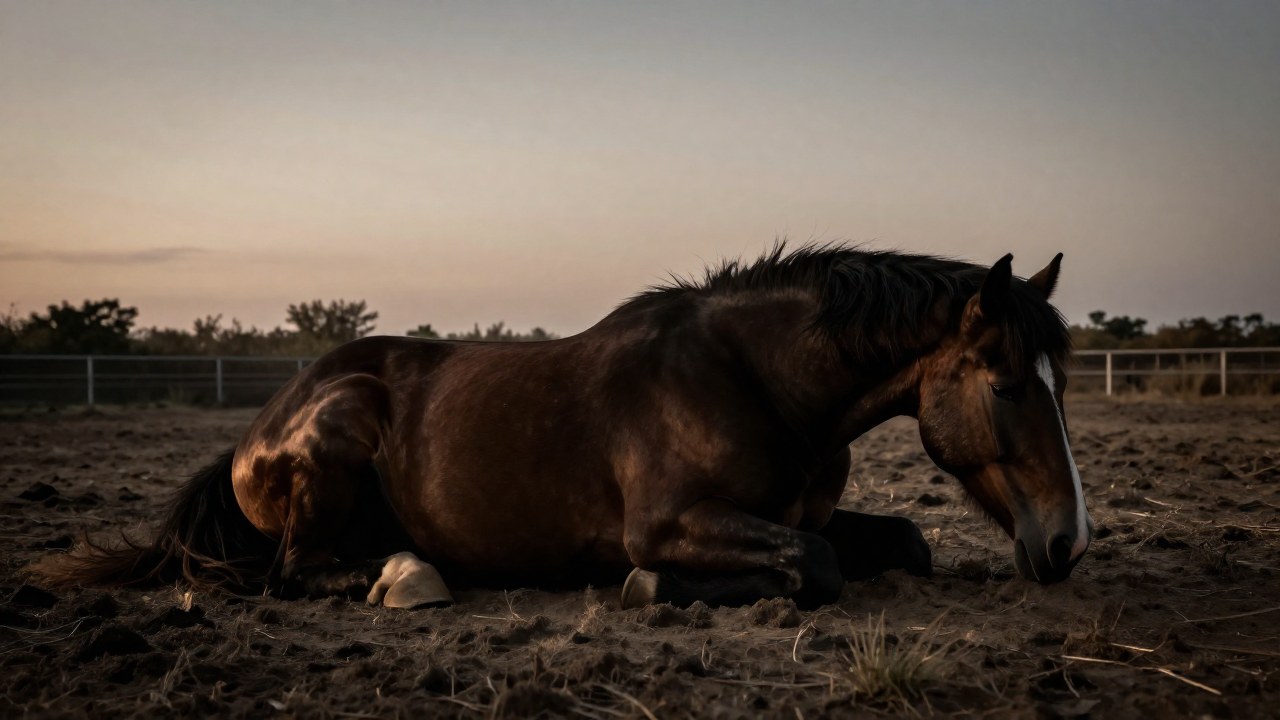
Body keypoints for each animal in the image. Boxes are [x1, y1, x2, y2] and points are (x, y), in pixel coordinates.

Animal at [36, 245, 1093, 609]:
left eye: (1061, 382)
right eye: (1006, 384)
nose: (1067, 543)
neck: (753, 380)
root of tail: (263, 426)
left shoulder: (811, 512)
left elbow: (901, 541)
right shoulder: (670, 522)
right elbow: (817, 568)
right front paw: (649, 588)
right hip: (338, 437)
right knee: (299, 571)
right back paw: (410, 577)